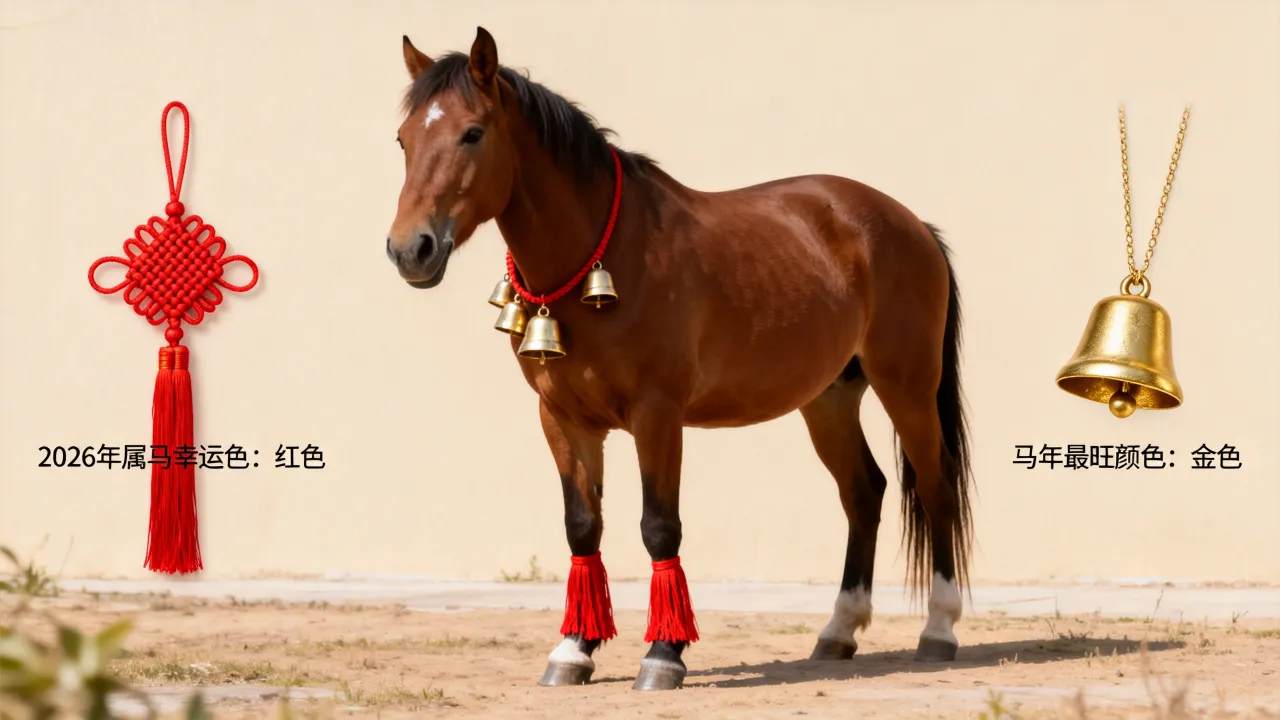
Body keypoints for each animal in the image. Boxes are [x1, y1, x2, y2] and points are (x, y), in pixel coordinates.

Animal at [384, 27, 975, 692]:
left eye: (472, 133)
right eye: (404, 139)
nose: (410, 249)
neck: (603, 255)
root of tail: (911, 224)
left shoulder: (658, 415)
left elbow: (658, 525)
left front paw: (663, 655)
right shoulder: (562, 418)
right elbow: (582, 525)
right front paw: (573, 651)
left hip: (907, 385)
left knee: (936, 485)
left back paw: (939, 631)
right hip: (828, 397)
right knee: (863, 491)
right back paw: (838, 632)